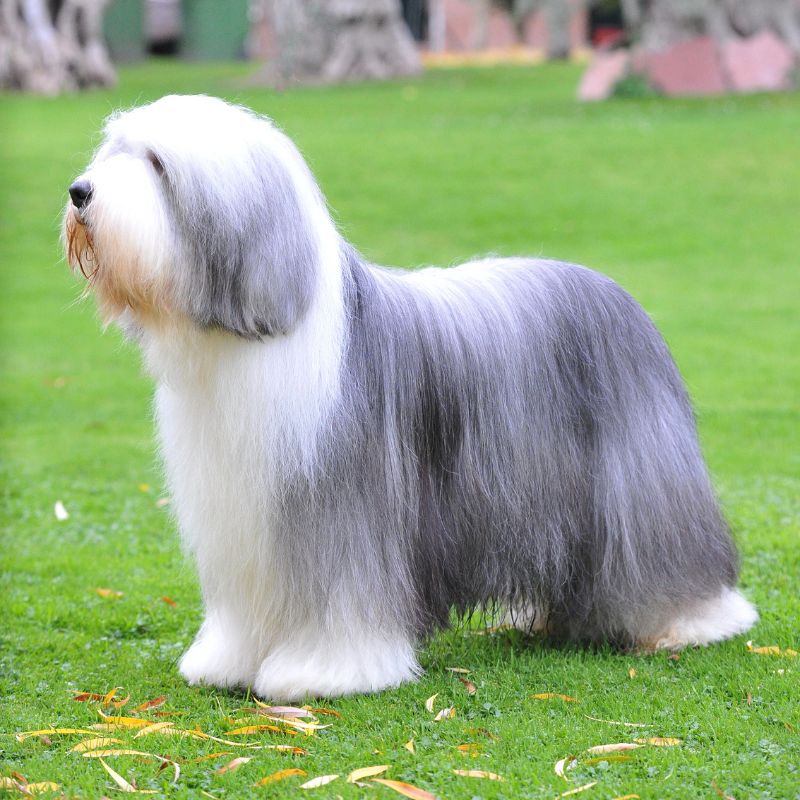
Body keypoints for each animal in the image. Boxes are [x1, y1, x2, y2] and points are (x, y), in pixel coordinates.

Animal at [64, 94, 756, 696]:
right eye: (116, 149)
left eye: (158, 163)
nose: (79, 192)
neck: (253, 336)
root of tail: (617, 293)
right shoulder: (243, 522)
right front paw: (227, 663)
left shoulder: (340, 512)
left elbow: (341, 600)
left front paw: (322, 672)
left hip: (638, 483)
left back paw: (690, 620)